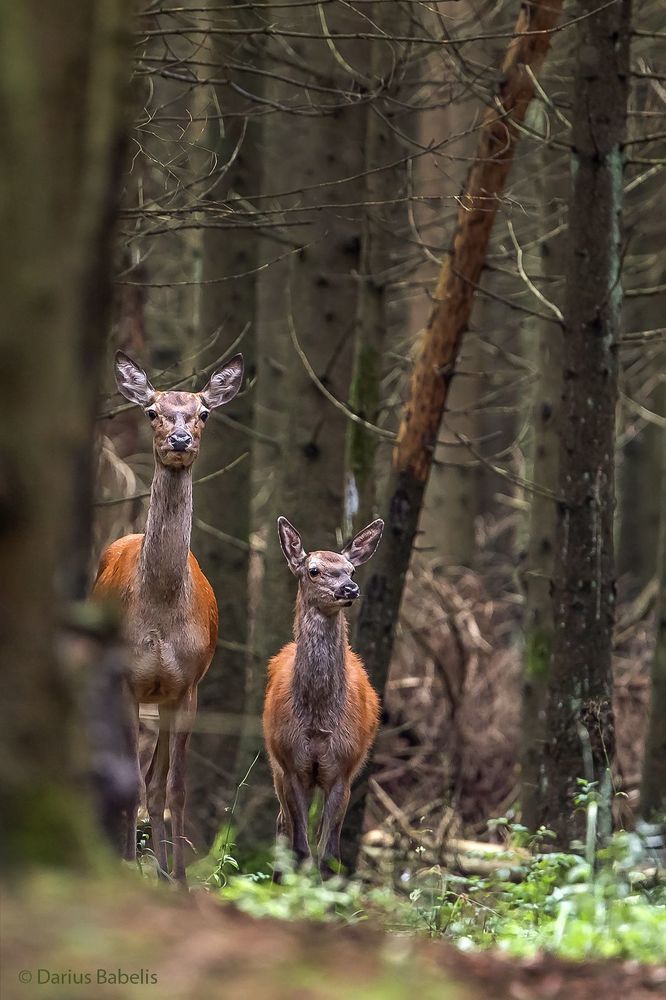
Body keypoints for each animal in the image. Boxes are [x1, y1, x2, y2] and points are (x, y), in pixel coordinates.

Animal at [92, 350, 243, 885]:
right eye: (152, 410)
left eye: (204, 413)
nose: (180, 440)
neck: (159, 612)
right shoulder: (128, 681)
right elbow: (134, 782)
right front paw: (130, 865)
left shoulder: (188, 684)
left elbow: (174, 787)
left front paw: (176, 875)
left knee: (157, 781)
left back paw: (159, 864)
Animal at [263, 516, 384, 878]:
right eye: (314, 570)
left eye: (351, 570)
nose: (349, 589)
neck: (318, 721)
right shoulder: (292, 765)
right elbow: (301, 849)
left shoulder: (343, 769)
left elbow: (329, 854)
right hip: (275, 764)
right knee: (282, 827)